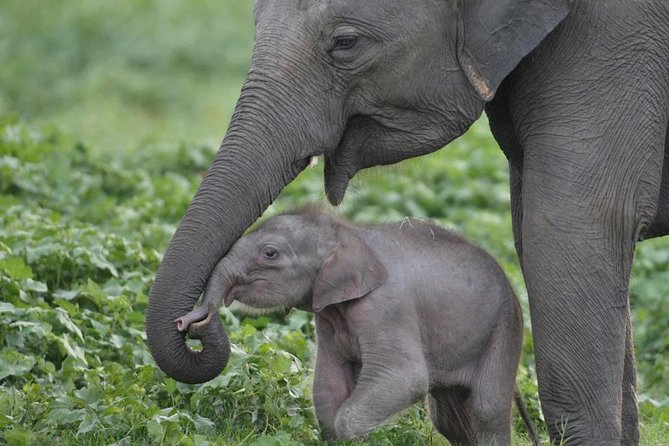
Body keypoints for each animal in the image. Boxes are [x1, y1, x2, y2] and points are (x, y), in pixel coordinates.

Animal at [175, 209, 536, 446]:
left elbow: (405, 378)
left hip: (504, 332)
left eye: (270, 253)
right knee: (450, 417)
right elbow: (328, 382)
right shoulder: (327, 317)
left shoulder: (387, 308)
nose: (188, 323)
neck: (350, 234)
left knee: (485, 409)